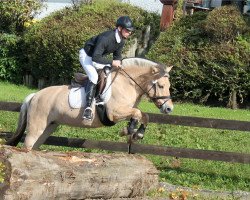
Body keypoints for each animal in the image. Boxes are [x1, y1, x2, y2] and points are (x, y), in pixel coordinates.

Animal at [6, 57, 174, 149]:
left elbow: (144, 116)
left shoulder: (126, 110)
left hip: (49, 127)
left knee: (34, 146)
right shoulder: (114, 113)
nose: (169, 108)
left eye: (169, 85)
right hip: (37, 126)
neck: (127, 83)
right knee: (28, 144)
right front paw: (127, 130)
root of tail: (35, 95)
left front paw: (138, 133)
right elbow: (137, 113)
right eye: (160, 86)